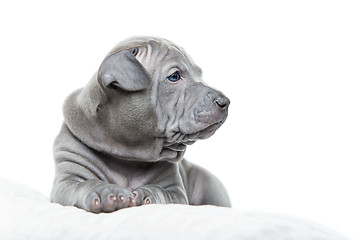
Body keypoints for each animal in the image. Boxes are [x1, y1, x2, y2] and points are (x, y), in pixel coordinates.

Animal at [50, 36, 231, 213]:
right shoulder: (66, 180)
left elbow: (164, 192)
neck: (128, 155)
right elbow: (82, 185)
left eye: (199, 74)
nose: (225, 102)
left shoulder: (175, 191)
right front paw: (104, 192)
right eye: (174, 76)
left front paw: (146, 193)